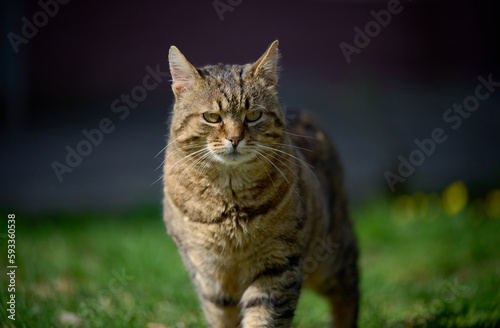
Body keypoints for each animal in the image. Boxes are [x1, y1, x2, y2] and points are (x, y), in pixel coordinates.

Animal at [162, 39, 358, 326]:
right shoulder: (210, 277)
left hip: (332, 255)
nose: (235, 138)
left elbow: (264, 317)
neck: (229, 201)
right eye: (212, 117)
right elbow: (221, 317)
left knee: (350, 290)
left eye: (253, 115)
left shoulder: (277, 265)